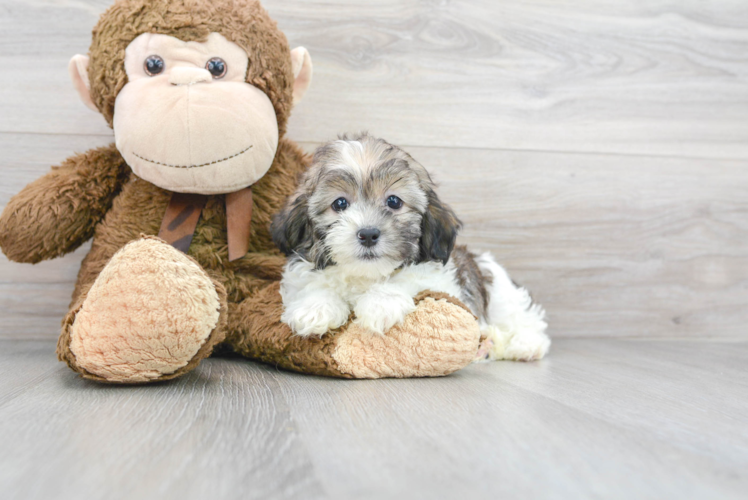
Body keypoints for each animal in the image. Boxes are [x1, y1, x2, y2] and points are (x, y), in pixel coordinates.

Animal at [270, 133, 548, 360]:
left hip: (502, 296)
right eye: (339, 204)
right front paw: (314, 309)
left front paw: (380, 303)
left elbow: (407, 279)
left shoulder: (440, 281)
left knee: (525, 319)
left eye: (394, 201)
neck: (364, 277)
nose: (368, 234)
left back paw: (526, 345)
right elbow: (312, 284)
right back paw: (487, 347)